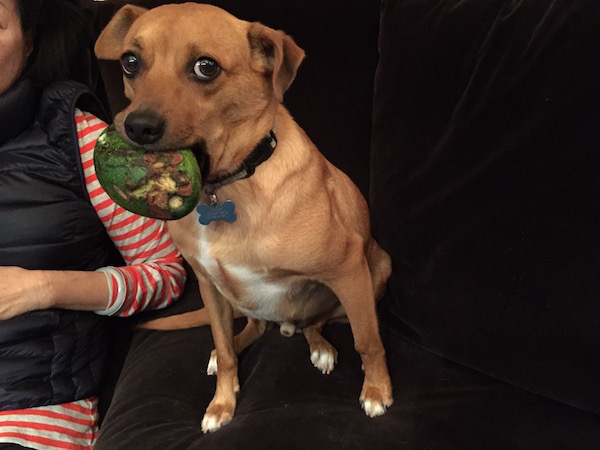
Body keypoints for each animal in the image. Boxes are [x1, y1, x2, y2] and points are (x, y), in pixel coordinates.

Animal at [95, 2, 394, 432]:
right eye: (130, 62)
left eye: (206, 67)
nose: (137, 126)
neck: (224, 188)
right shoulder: (208, 284)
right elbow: (224, 349)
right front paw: (222, 402)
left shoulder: (348, 268)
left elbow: (367, 340)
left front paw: (377, 391)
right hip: (236, 297)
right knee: (251, 329)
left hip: (376, 271)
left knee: (317, 322)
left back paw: (319, 346)